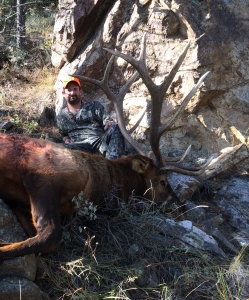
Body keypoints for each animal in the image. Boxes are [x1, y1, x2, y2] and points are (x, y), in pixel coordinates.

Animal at [0, 34, 212, 262]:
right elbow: (49, 236)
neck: (104, 182)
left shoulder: (22, 201)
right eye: (163, 181)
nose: (181, 206)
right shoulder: (43, 177)